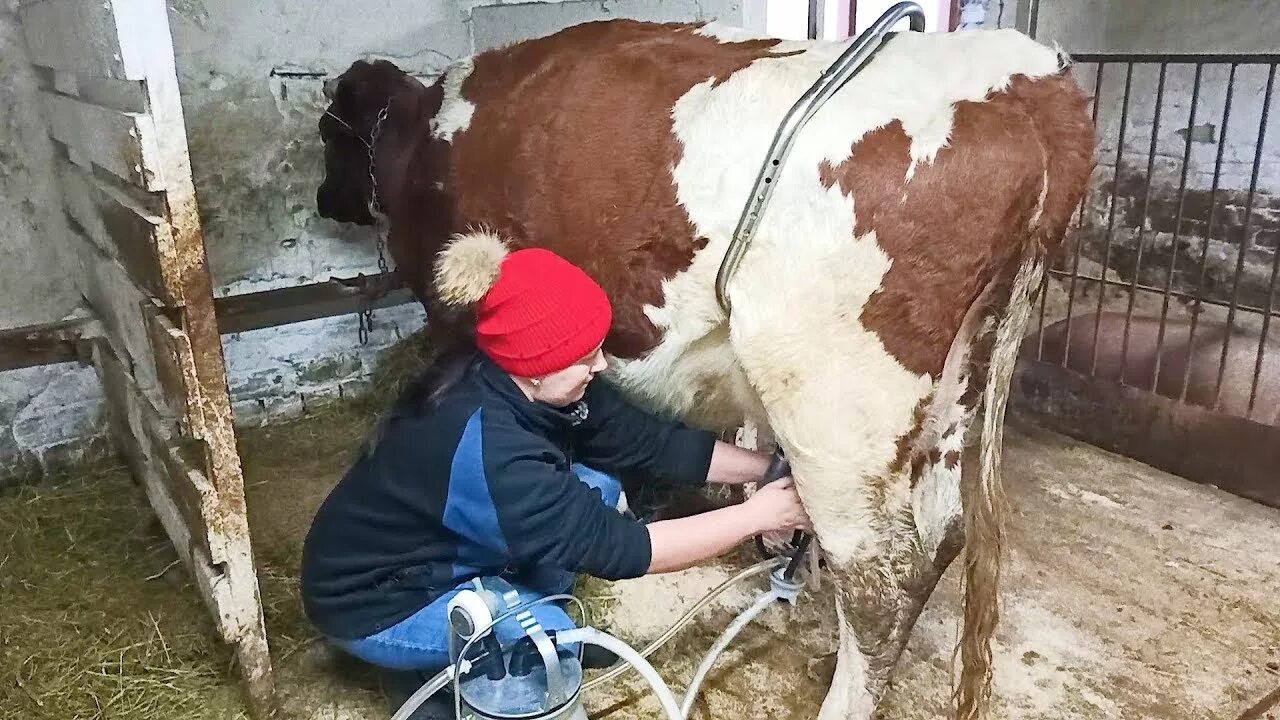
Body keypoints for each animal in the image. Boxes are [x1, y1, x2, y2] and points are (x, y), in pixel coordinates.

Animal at [314, 18, 1095, 717]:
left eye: (328, 135)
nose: (325, 200)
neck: (425, 133)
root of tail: (1027, 73)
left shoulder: (452, 311)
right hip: (958, 385)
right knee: (942, 535)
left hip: (835, 401)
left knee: (881, 575)